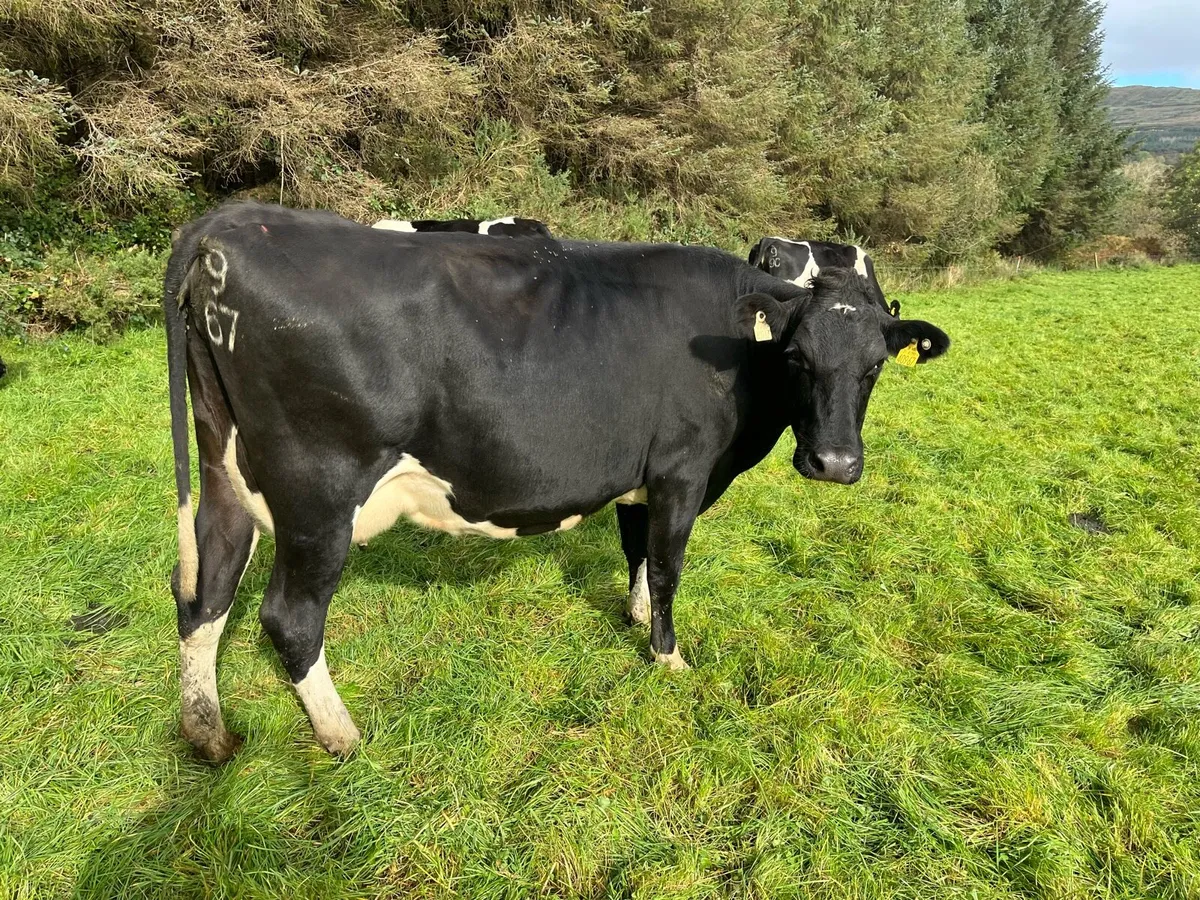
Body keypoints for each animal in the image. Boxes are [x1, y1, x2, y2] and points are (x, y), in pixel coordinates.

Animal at [164, 201, 949, 761]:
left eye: (874, 366)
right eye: (797, 359)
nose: (835, 464)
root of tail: (228, 224)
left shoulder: (639, 472)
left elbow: (636, 552)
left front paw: (635, 617)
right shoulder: (682, 470)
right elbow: (667, 564)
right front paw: (668, 655)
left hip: (225, 468)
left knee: (206, 586)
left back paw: (209, 734)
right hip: (318, 492)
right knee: (288, 617)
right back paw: (340, 733)